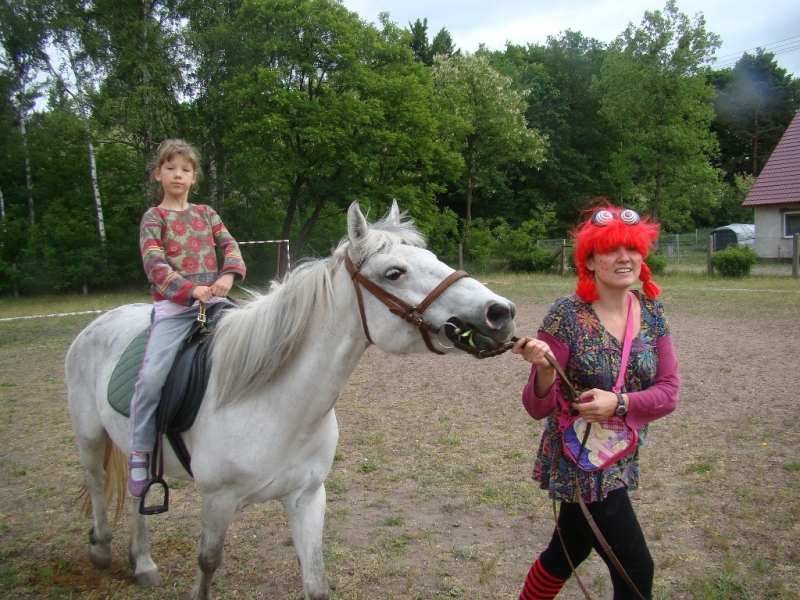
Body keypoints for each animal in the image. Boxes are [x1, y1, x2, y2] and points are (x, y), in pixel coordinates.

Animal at [62, 202, 516, 600]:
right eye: (394, 272)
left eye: (435, 258)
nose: (501, 312)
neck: (276, 406)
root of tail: (102, 321)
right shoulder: (218, 500)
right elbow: (207, 564)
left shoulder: (308, 498)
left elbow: (316, 582)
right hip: (90, 437)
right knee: (98, 482)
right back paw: (101, 548)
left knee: (136, 495)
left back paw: (143, 563)